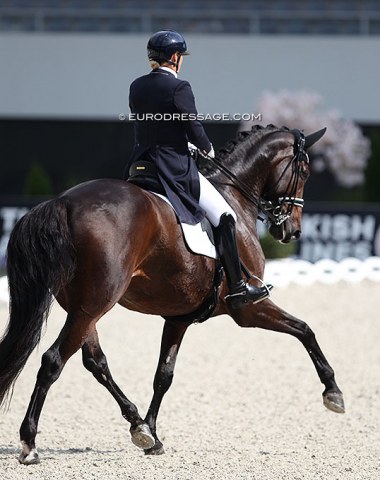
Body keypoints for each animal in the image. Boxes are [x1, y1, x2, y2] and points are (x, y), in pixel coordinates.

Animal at [0, 124, 344, 464]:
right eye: (305, 171)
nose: (291, 232)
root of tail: (63, 203)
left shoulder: (178, 318)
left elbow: (163, 375)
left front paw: (152, 433)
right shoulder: (248, 309)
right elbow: (304, 329)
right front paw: (333, 392)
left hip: (84, 308)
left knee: (95, 362)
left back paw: (137, 424)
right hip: (94, 305)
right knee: (53, 360)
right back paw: (29, 443)